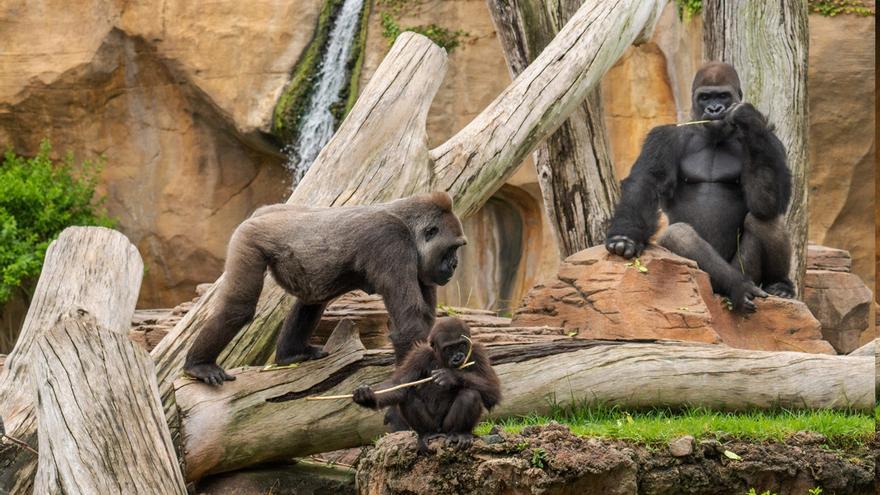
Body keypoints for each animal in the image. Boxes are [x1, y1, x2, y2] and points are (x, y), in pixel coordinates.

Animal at [185, 192, 468, 386]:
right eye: (452, 248)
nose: (455, 265)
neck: (408, 224)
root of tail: (263, 212)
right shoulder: (390, 241)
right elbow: (410, 325)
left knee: (311, 301)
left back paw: (291, 354)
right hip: (249, 238)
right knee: (238, 308)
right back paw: (198, 365)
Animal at [350, 318, 502, 454]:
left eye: (462, 345)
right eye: (449, 348)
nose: (458, 357)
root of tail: (441, 432)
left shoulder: (478, 352)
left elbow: (493, 391)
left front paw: (451, 376)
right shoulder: (419, 355)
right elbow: (399, 384)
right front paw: (367, 397)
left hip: (446, 428)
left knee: (470, 394)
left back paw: (460, 433)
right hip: (434, 426)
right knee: (408, 397)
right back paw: (427, 433)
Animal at [604, 60, 796, 312]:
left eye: (723, 96)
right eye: (705, 97)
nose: (714, 109)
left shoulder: (771, 140)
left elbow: (766, 203)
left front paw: (748, 118)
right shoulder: (663, 137)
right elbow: (646, 182)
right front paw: (625, 237)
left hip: (747, 274)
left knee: (766, 220)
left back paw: (778, 283)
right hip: (697, 276)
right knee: (677, 235)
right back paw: (736, 285)